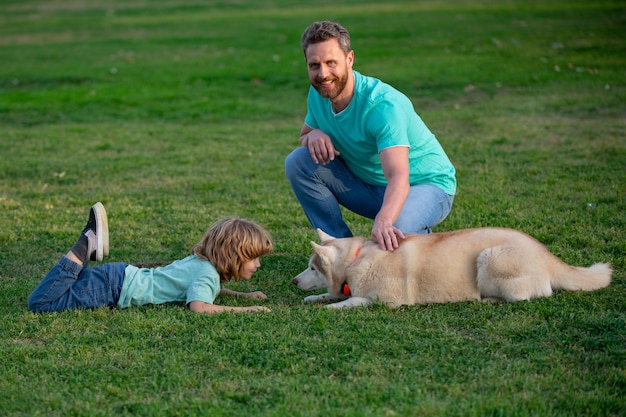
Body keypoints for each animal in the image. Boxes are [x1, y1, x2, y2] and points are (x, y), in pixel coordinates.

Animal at [292, 226, 608, 308]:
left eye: (312, 268)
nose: (294, 281)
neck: (357, 258)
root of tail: (546, 253)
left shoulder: (386, 301)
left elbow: (351, 301)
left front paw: (331, 307)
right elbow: (330, 294)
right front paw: (315, 298)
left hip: (489, 259)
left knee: (525, 296)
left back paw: (487, 300)